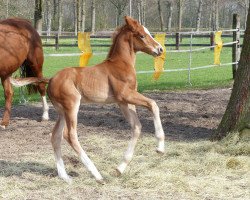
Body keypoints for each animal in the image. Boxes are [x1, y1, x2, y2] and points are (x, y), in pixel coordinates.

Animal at [9, 16, 165, 184]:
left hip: (62, 111)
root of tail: (50, 79)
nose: (160, 49)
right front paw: (160, 147)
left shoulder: (124, 102)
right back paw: (96, 175)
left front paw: (120, 168)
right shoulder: (125, 95)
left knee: (56, 136)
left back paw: (65, 177)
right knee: (70, 135)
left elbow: (137, 127)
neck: (121, 64)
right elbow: (153, 104)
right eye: (142, 35)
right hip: (72, 105)